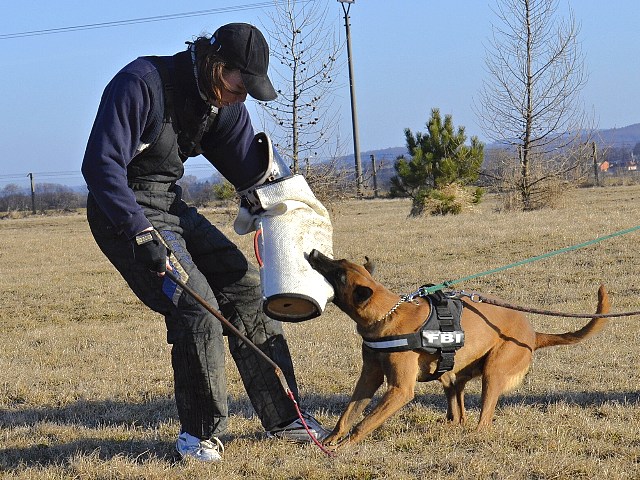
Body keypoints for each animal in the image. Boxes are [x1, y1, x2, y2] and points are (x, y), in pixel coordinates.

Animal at [308, 249, 608, 448]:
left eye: (339, 273)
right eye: (338, 262)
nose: (314, 252)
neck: (387, 314)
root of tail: (533, 335)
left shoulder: (399, 390)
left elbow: (364, 422)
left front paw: (343, 448)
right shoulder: (368, 379)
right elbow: (348, 415)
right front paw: (329, 441)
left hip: (493, 372)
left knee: (483, 419)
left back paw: (473, 435)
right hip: (452, 374)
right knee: (459, 412)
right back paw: (451, 424)